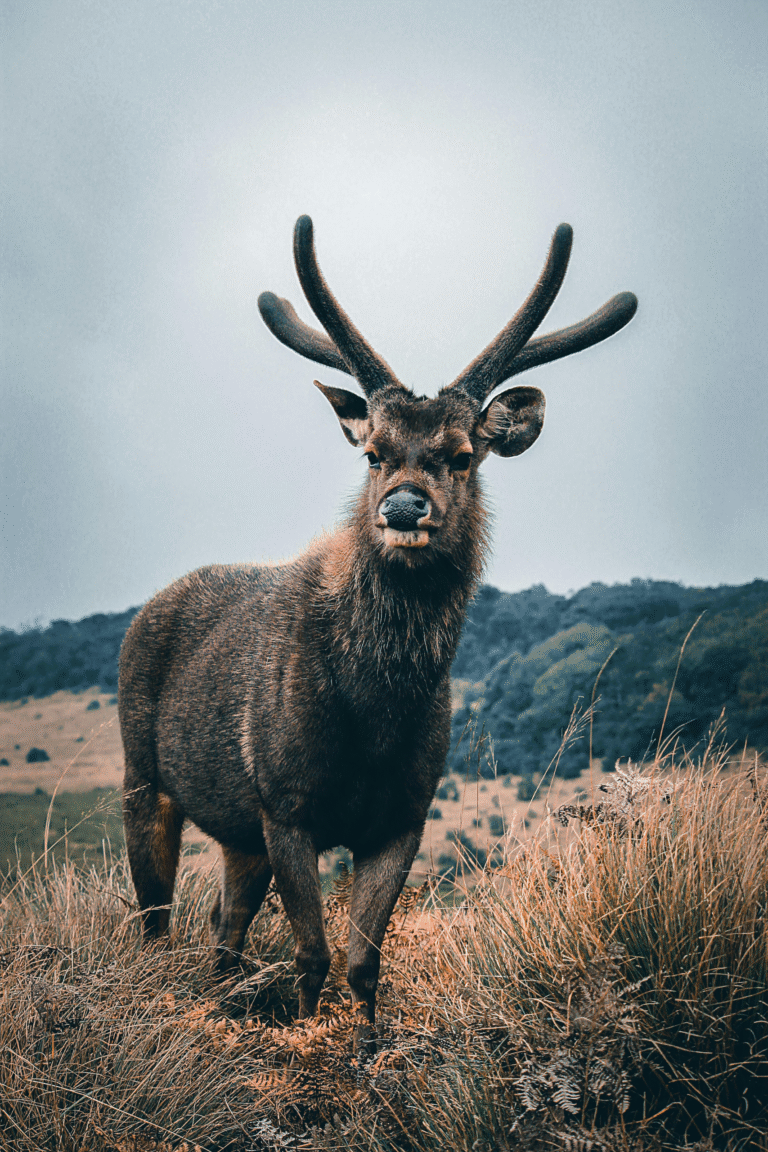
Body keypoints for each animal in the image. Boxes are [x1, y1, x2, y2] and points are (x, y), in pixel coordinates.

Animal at [118, 215, 637, 1045]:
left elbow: (364, 963)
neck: (374, 714)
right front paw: (305, 1048)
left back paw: (223, 999)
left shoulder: (402, 815)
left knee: (225, 928)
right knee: (156, 919)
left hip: (237, 831)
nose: (402, 507)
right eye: (372, 453)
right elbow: (313, 956)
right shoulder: (286, 802)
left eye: (462, 454)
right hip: (144, 775)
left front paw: (363, 1054)